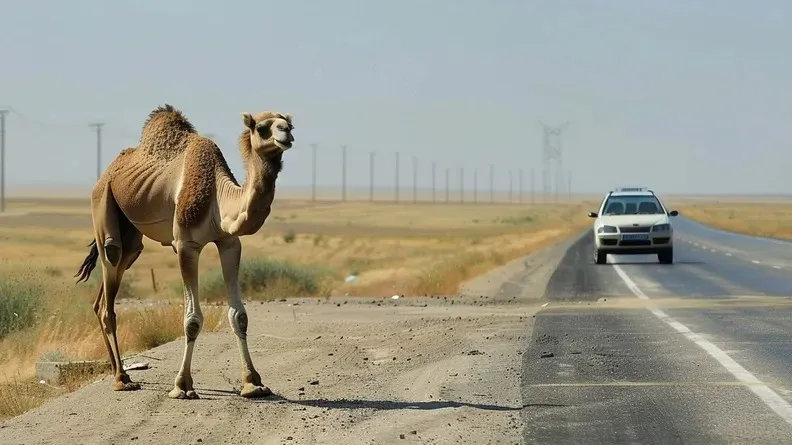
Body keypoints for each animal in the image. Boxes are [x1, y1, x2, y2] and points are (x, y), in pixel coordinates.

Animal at [74, 104, 294, 398]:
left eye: (289, 125)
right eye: (261, 128)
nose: (286, 134)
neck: (218, 199)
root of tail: (108, 172)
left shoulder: (229, 243)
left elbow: (239, 315)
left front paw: (253, 383)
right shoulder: (186, 245)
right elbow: (192, 319)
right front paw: (182, 385)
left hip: (131, 233)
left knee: (108, 288)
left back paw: (118, 372)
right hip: (102, 202)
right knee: (110, 263)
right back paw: (122, 380)